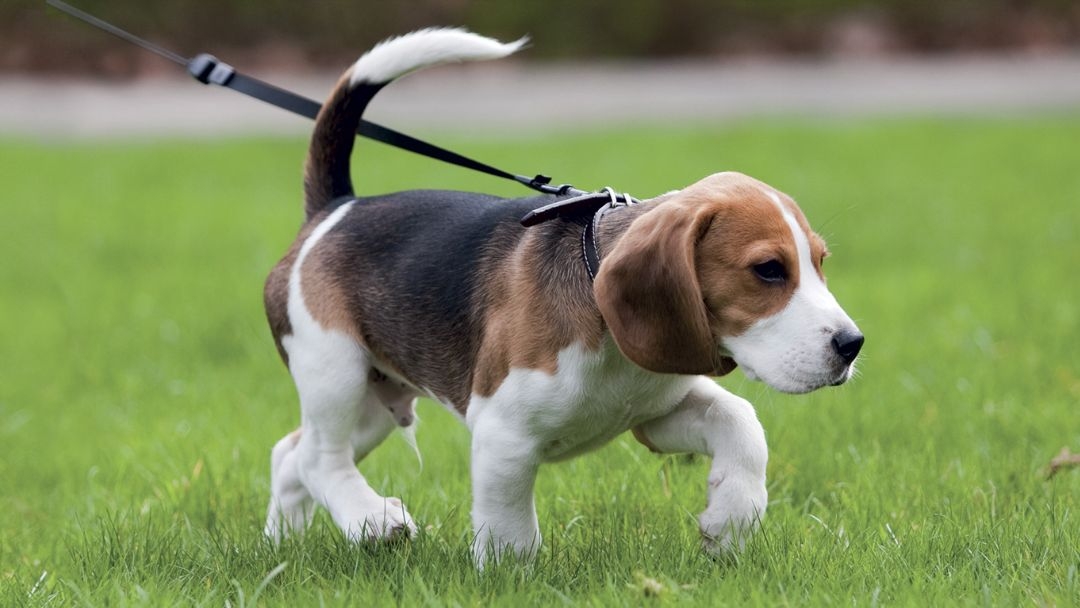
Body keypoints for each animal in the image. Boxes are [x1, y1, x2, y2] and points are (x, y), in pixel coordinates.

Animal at [261, 30, 859, 570]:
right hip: (335, 368)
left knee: (289, 455)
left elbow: (740, 421)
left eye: (820, 262)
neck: (610, 337)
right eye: (768, 270)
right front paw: (509, 578)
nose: (852, 344)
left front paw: (730, 520)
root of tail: (337, 208)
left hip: (375, 400)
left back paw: (281, 545)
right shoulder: (503, 433)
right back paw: (373, 520)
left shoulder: (656, 412)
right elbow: (510, 530)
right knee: (319, 459)